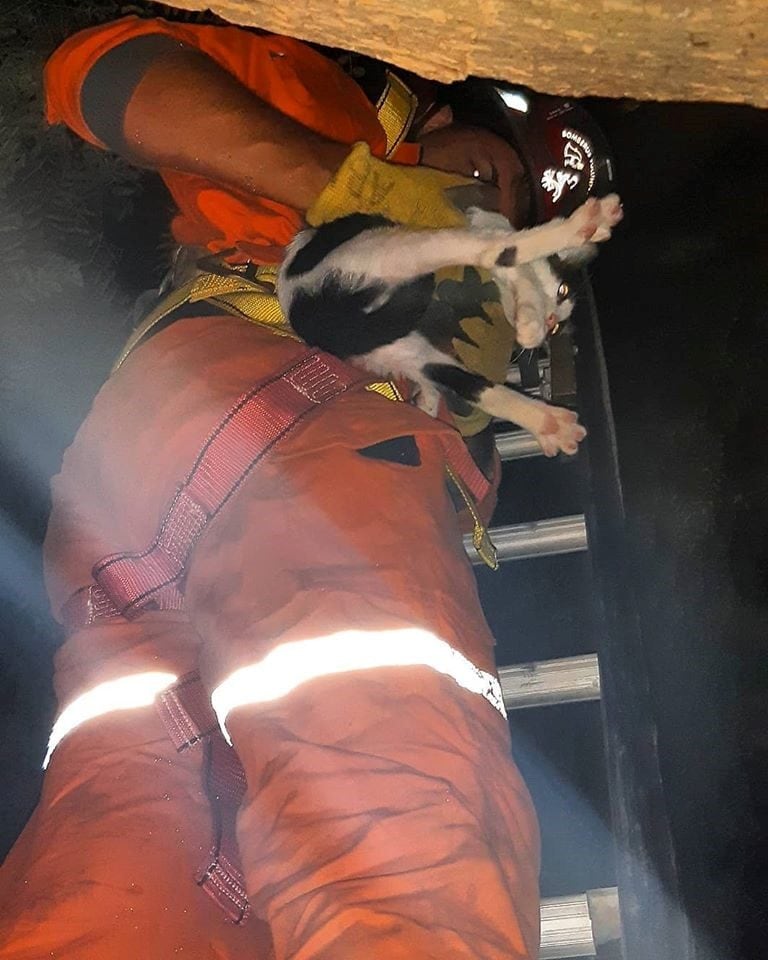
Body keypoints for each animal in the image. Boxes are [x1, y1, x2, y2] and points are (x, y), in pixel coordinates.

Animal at [280, 195, 620, 458]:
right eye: (563, 290)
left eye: (557, 329)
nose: (551, 323)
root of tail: (308, 304)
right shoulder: (487, 227)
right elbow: (518, 269)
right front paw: (530, 323)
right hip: (402, 250)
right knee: (496, 250)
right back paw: (584, 224)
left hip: (391, 341)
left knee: (470, 383)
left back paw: (550, 424)